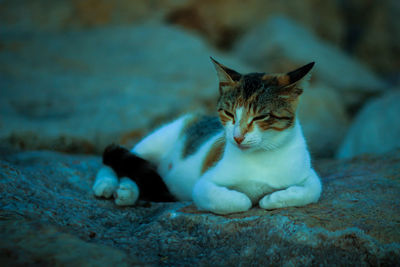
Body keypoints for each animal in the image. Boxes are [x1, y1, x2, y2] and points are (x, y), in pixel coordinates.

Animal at [93, 58, 322, 216]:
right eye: (229, 113)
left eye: (261, 116)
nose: (237, 137)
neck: (262, 156)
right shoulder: (204, 184)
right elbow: (239, 201)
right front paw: (252, 198)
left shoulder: (308, 173)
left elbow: (312, 189)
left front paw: (272, 198)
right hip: (159, 138)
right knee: (122, 157)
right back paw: (111, 185)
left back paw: (126, 190)